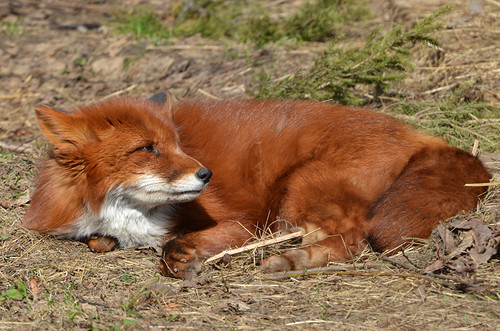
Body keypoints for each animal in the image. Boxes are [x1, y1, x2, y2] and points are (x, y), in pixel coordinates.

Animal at [22, 91, 488, 280]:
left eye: (177, 144)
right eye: (147, 149)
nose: (206, 175)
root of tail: (422, 135)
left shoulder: (241, 220)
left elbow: (173, 246)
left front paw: (183, 258)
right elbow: (98, 241)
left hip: (300, 187)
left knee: (352, 240)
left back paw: (289, 260)